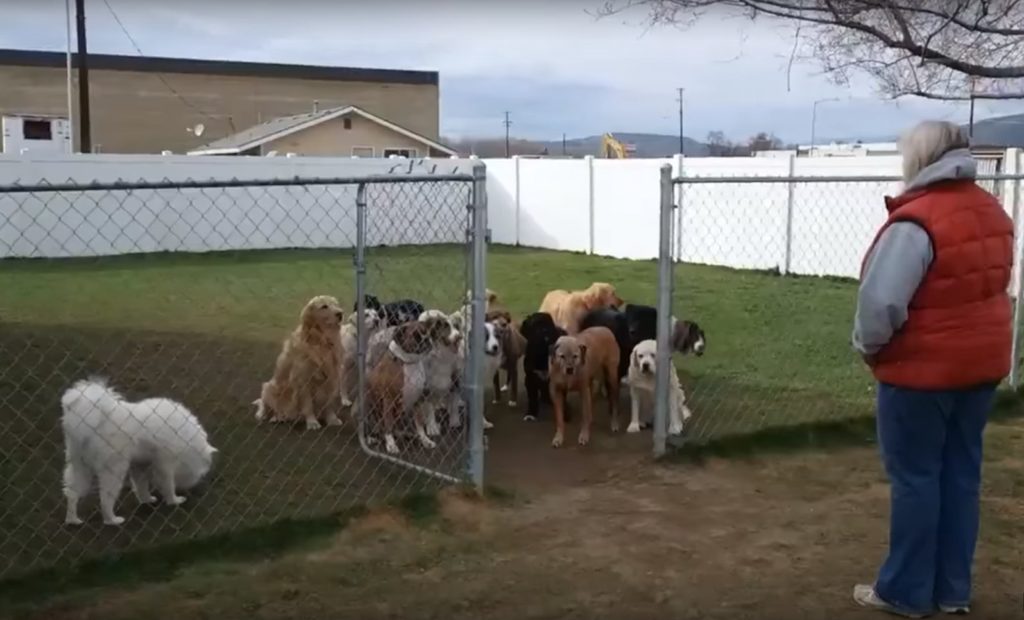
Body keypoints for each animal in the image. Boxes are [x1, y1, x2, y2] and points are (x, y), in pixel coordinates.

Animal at [60, 377, 217, 528]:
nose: (199, 481)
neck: (188, 438)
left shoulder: (139, 465)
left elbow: (141, 486)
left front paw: (147, 499)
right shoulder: (164, 463)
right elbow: (168, 485)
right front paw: (174, 500)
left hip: (80, 466)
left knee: (72, 494)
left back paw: (73, 520)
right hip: (113, 470)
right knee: (105, 499)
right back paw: (112, 520)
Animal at [256, 295, 348, 430]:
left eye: (336, 304)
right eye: (324, 306)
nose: (340, 313)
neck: (321, 341)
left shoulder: (331, 378)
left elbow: (328, 403)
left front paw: (332, 419)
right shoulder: (303, 380)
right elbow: (308, 405)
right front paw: (312, 422)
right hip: (269, 387)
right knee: (266, 406)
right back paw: (273, 416)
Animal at [366, 319, 450, 455]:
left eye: (426, 332)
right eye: (416, 335)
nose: (426, 339)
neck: (409, 362)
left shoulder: (417, 400)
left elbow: (419, 425)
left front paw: (425, 440)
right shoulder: (388, 400)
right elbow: (388, 424)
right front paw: (391, 444)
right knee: (377, 427)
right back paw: (372, 437)